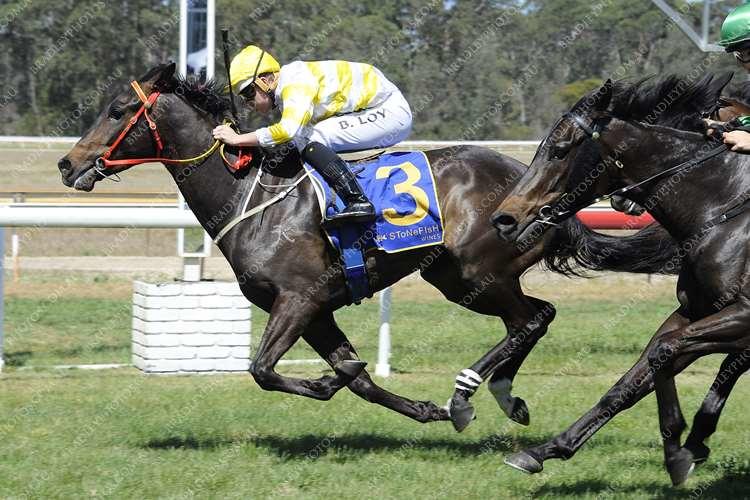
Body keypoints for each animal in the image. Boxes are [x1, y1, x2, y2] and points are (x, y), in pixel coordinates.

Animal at [58, 62, 675, 434]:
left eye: (118, 111)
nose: (67, 164)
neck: (248, 194)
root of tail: (535, 185)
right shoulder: (315, 310)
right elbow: (354, 378)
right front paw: (411, 405)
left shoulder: (299, 299)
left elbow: (263, 369)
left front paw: (328, 381)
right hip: (460, 276)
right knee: (531, 319)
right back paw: (501, 397)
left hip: (475, 274)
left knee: (532, 318)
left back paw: (468, 395)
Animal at [492, 72, 750, 486]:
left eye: (560, 150)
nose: (504, 219)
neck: (723, 208)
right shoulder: (694, 313)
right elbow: (631, 381)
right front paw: (544, 450)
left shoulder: (742, 318)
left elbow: (663, 353)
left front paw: (677, 452)